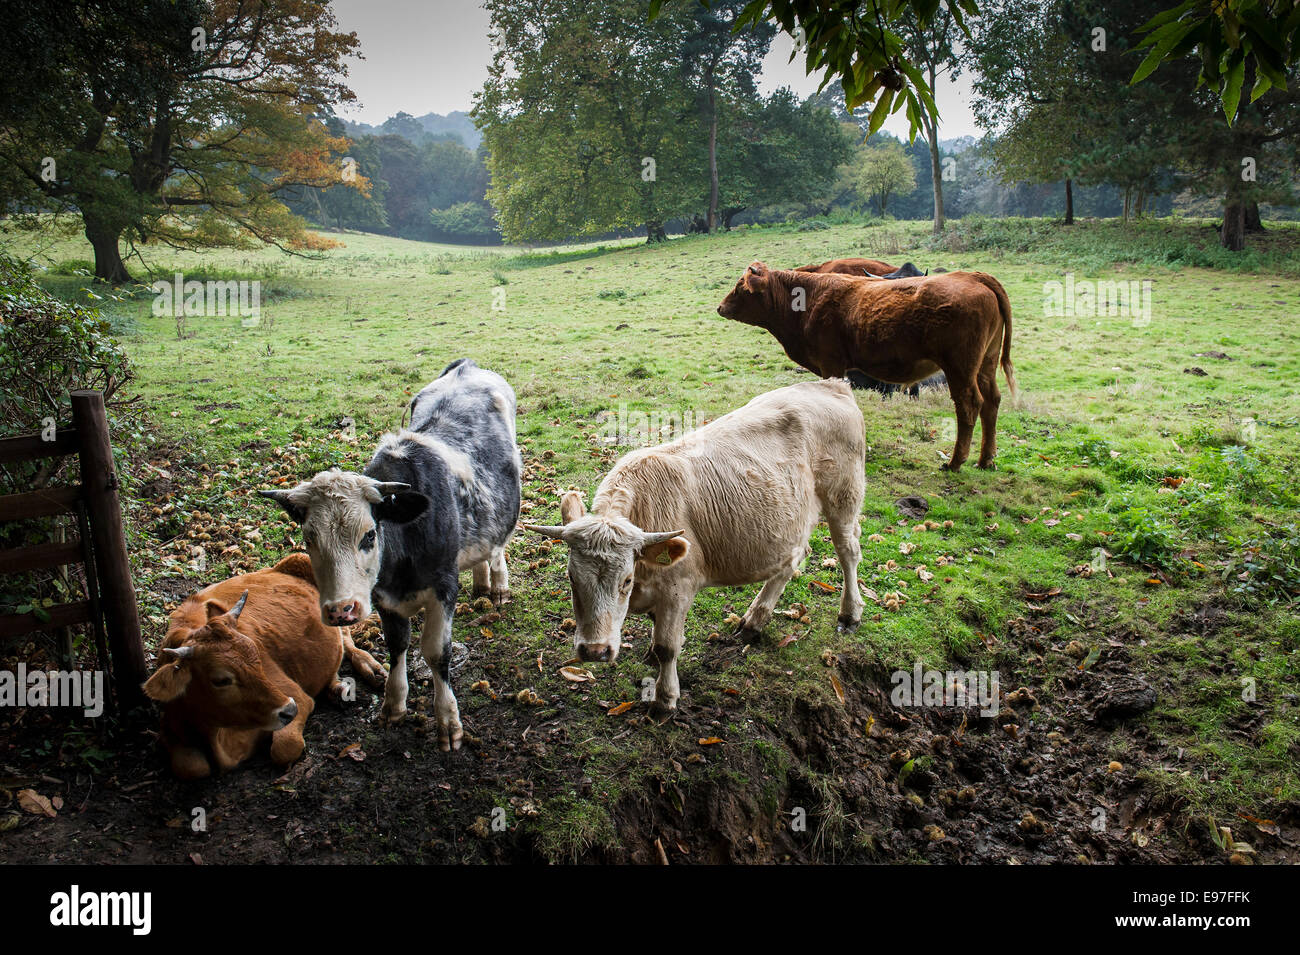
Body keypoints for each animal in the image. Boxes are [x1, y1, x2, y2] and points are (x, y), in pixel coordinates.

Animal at [145, 548, 384, 779]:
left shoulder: (297, 696)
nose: (289, 709)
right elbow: (192, 767)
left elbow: (284, 748)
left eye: (257, 657)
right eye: (221, 680)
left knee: (345, 637)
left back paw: (369, 669)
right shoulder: (170, 729)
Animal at [261, 358, 520, 753]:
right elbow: (397, 644)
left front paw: (448, 720)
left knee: (498, 544)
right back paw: (480, 582)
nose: (341, 610)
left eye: (370, 534)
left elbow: (435, 651)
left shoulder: (444, 587)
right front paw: (393, 705)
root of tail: (467, 366)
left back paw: (498, 586)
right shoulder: (382, 597)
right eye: (309, 538)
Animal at [522, 379, 868, 717]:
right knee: (792, 560)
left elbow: (668, 647)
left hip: (844, 496)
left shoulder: (680, 587)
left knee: (848, 550)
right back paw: (755, 620)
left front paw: (664, 699)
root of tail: (831, 384)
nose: (595, 650)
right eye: (572, 578)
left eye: (626, 581)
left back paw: (849, 614)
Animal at [722, 261, 1013, 470]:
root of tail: (973, 276)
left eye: (740, 287)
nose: (720, 307)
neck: (809, 299)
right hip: (985, 365)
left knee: (969, 405)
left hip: (960, 370)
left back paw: (955, 462)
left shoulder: (832, 365)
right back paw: (985, 460)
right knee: (992, 402)